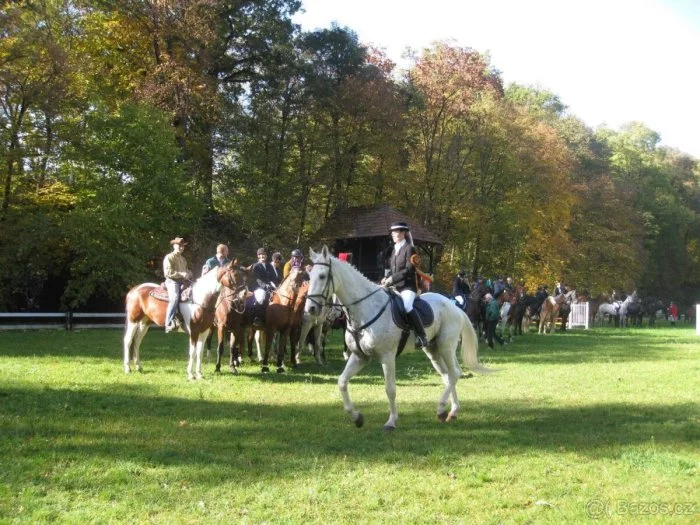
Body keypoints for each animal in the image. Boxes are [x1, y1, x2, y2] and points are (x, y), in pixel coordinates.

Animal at [304, 246, 490, 430]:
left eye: (322, 276)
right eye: (309, 276)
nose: (310, 309)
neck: (365, 309)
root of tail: (455, 307)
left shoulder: (387, 357)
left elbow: (390, 389)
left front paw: (391, 421)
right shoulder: (359, 357)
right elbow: (342, 382)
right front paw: (357, 417)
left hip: (446, 346)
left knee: (455, 373)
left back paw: (442, 408)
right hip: (433, 350)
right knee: (448, 376)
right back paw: (451, 411)